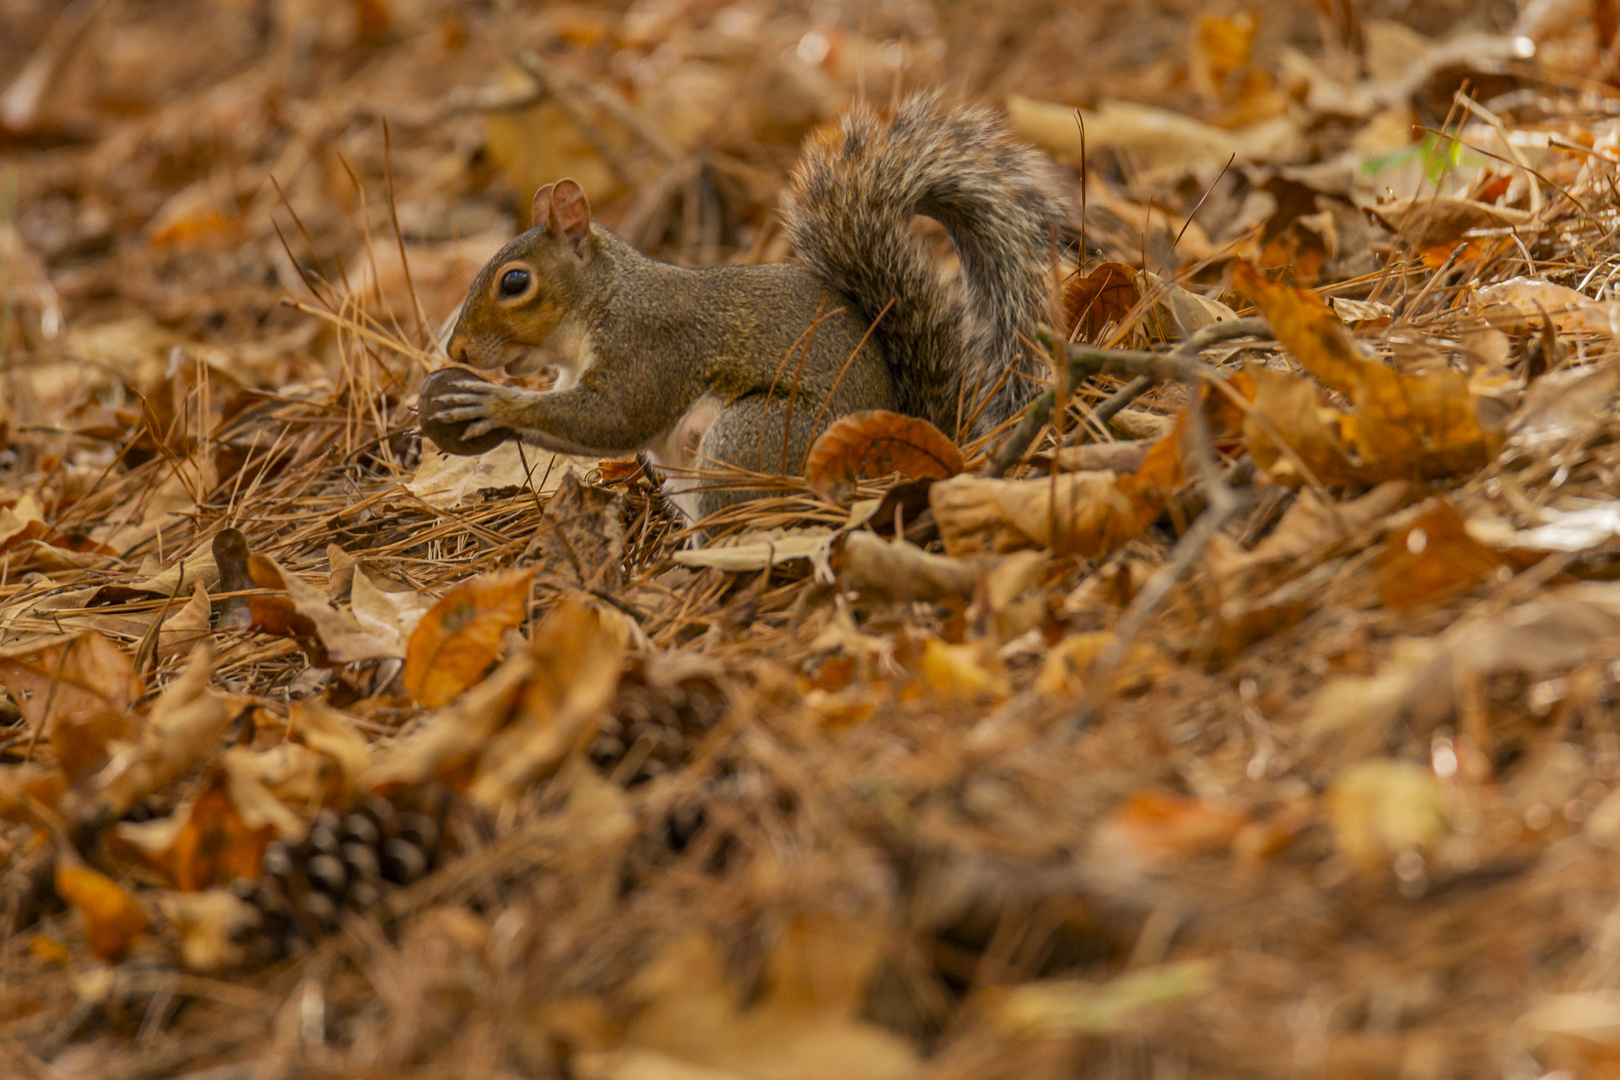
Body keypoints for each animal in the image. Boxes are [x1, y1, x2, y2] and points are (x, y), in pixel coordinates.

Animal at [421, 90, 1062, 521]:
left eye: (515, 282)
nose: (456, 349)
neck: (605, 298)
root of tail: (904, 449)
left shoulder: (650, 344)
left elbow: (613, 417)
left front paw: (493, 403)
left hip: (756, 437)